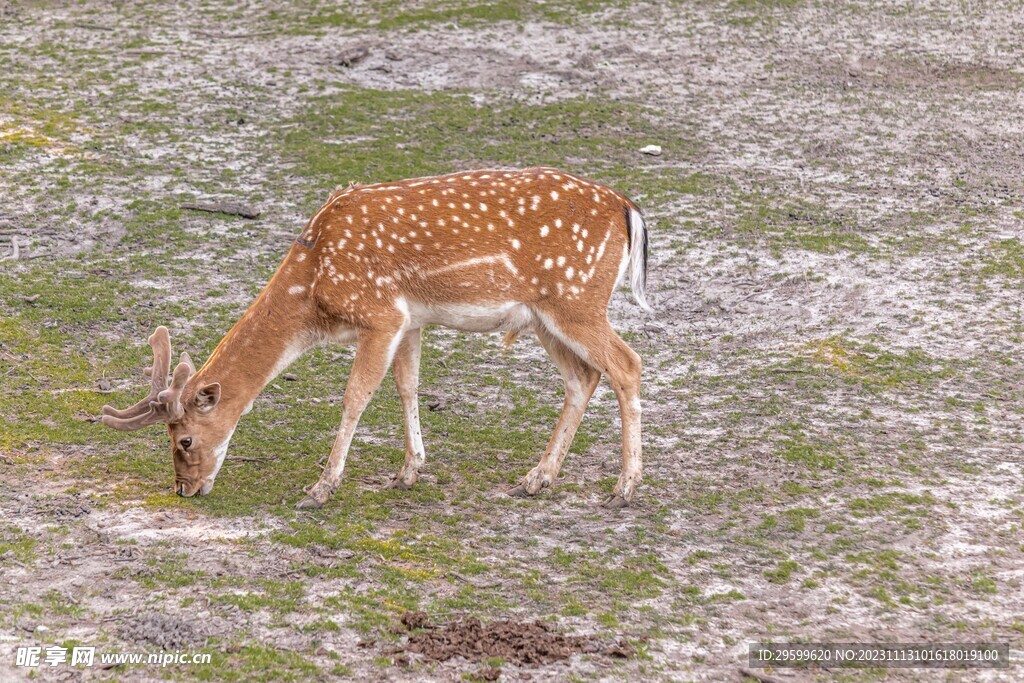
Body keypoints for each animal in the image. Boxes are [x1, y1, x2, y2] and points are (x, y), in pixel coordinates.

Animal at [99, 168, 651, 509]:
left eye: (184, 439)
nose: (184, 489)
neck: (314, 292)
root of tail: (630, 210)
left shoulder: (379, 314)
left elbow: (355, 396)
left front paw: (320, 488)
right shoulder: (409, 320)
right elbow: (407, 386)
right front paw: (409, 471)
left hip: (575, 299)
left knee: (627, 364)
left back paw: (623, 489)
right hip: (545, 316)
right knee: (583, 377)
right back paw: (537, 479)